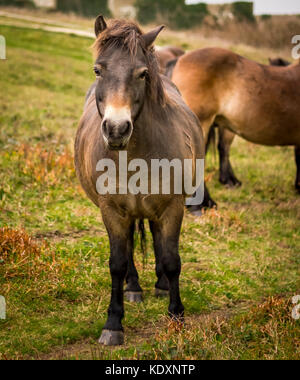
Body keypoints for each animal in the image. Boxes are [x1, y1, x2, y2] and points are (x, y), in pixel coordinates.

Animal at [75, 16, 205, 346]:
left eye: (143, 73)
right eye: (98, 69)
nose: (116, 129)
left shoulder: (172, 207)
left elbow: (171, 259)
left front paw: (176, 316)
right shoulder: (112, 210)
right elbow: (117, 263)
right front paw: (113, 324)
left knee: (157, 240)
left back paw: (159, 285)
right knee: (131, 246)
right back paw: (134, 288)